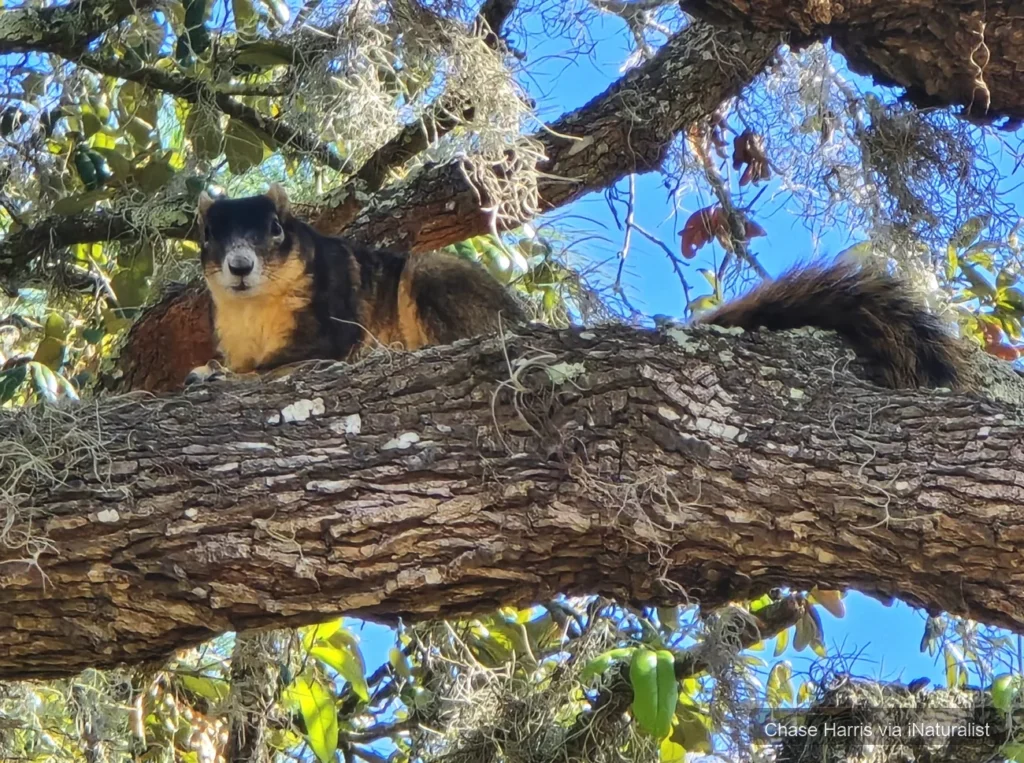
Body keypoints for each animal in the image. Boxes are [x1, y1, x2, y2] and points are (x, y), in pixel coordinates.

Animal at [185, 185, 963, 391]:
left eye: (276, 231)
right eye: (210, 238)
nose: (240, 265)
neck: (254, 310)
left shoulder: (334, 316)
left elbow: (302, 356)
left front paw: (227, 378)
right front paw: (212, 366)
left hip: (435, 282)